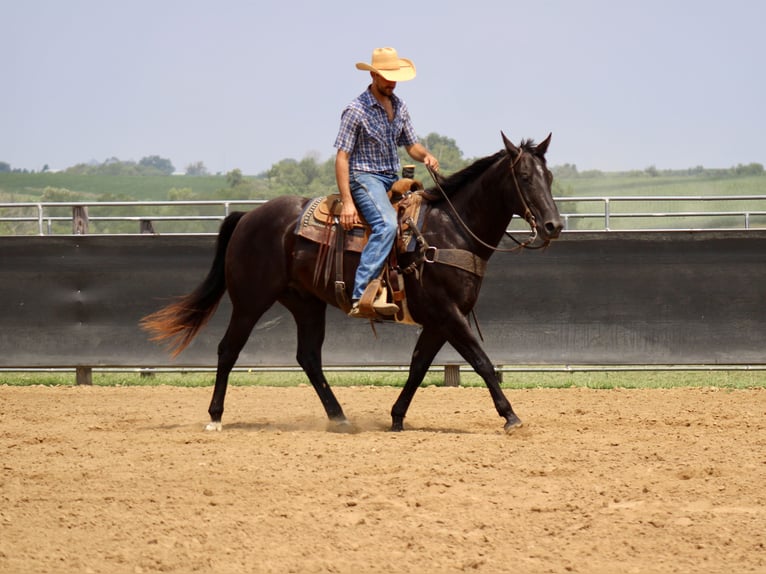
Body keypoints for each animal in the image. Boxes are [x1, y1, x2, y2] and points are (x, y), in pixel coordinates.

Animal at [142, 133, 564, 434]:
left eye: (550, 176)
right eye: (525, 177)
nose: (553, 225)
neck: (449, 231)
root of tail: (247, 217)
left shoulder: (439, 320)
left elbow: (418, 365)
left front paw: (396, 417)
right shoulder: (448, 314)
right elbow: (482, 361)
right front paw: (511, 417)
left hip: (306, 303)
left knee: (308, 357)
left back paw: (340, 417)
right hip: (250, 300)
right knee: (228, 349)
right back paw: (215, 416)